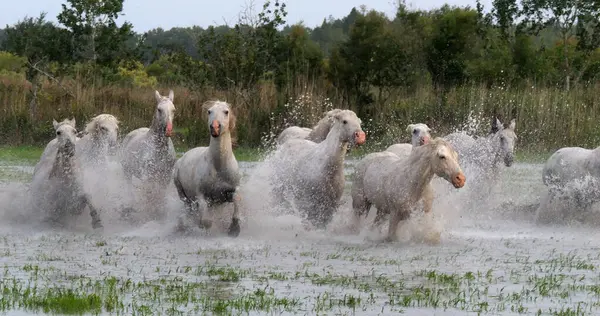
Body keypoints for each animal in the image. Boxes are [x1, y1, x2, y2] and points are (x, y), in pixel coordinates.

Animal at [119, 90, 176, 218]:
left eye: (173, 110)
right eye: (159, 109)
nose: (168, 130)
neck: (159, 151)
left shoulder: (165, 176)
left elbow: (160, 195)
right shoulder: (148, 176)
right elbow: (149, 195)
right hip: (127, 171)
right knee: (129, 188)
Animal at [173, 100, 241, 236]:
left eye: (226, 111)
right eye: (209, 111)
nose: (214, 128)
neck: (219, 167)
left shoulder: (228, 192)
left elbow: (237, 199)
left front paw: (234, 229)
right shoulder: (201, 195)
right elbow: (206, 221)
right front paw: (203, 227)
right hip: (183, 195)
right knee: (189, 209)